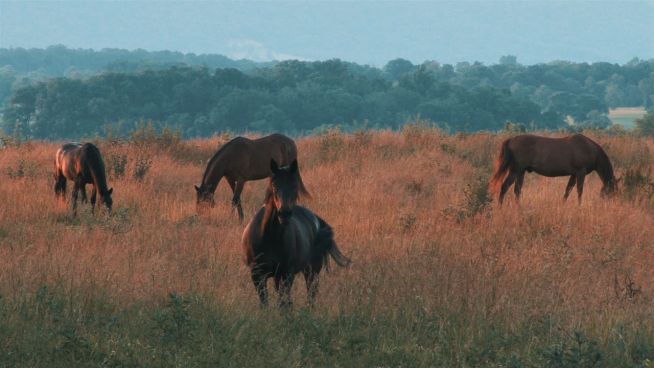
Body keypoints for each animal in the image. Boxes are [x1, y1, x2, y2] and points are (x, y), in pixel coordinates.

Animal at [242, 160, 352, 310]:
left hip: (311, 271)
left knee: (310, 294)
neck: (269, 237)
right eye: (274, 185)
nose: (284, 213)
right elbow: (266, 303)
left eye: (295, 185)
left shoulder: (286, 274)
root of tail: (316, 219)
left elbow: (284, 304)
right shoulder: (257, 275)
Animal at [492, 134, 620, 206]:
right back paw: (500, 207)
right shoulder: (580, 173)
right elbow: (579, 191)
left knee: (517, 190)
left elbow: (568, 190)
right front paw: (579, 206)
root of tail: (511, 140)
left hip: (521, 172)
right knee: (504, 187)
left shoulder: (573, 174)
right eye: (612, 191)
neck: (589, 149)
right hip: (515, 170)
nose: (611, 205)